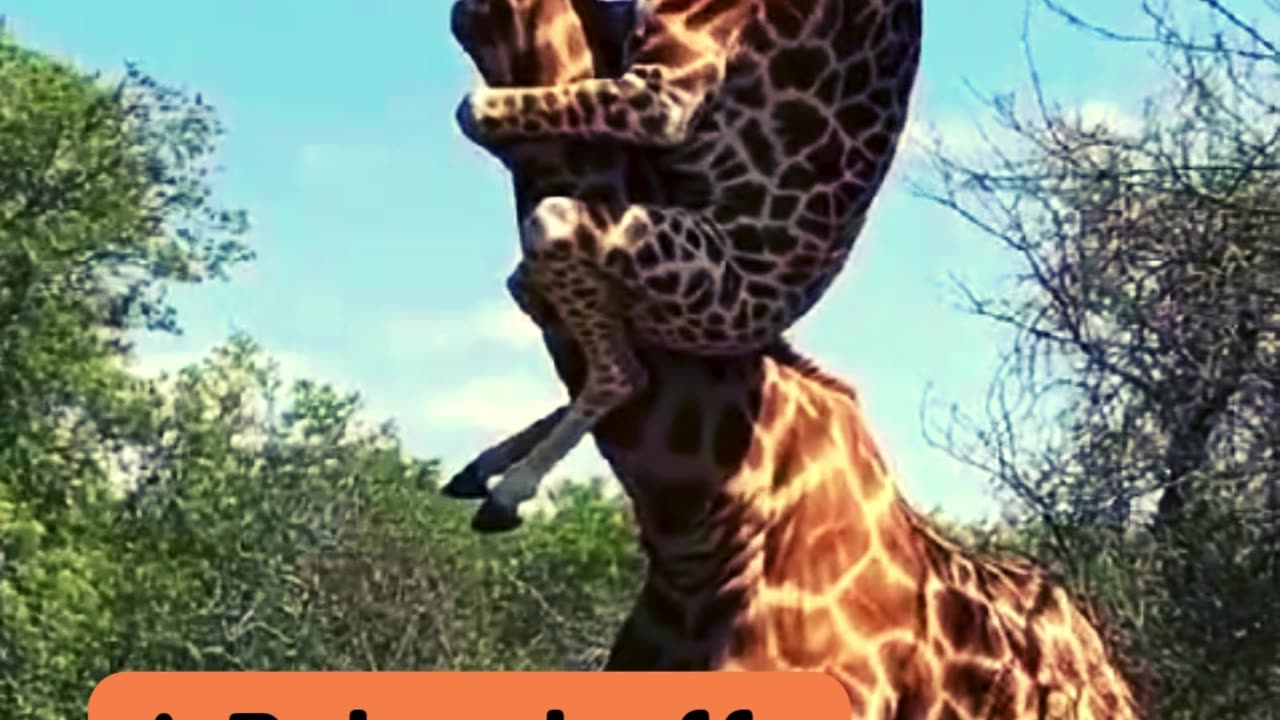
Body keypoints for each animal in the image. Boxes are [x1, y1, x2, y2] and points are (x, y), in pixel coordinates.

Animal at [446, 0, 925, 526]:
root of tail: (759, 329)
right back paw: (478, 473)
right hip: (547, 283)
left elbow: (471, 108)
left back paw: (507, 492)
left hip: (591, 240)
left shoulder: (663, 99)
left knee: (625, 373)